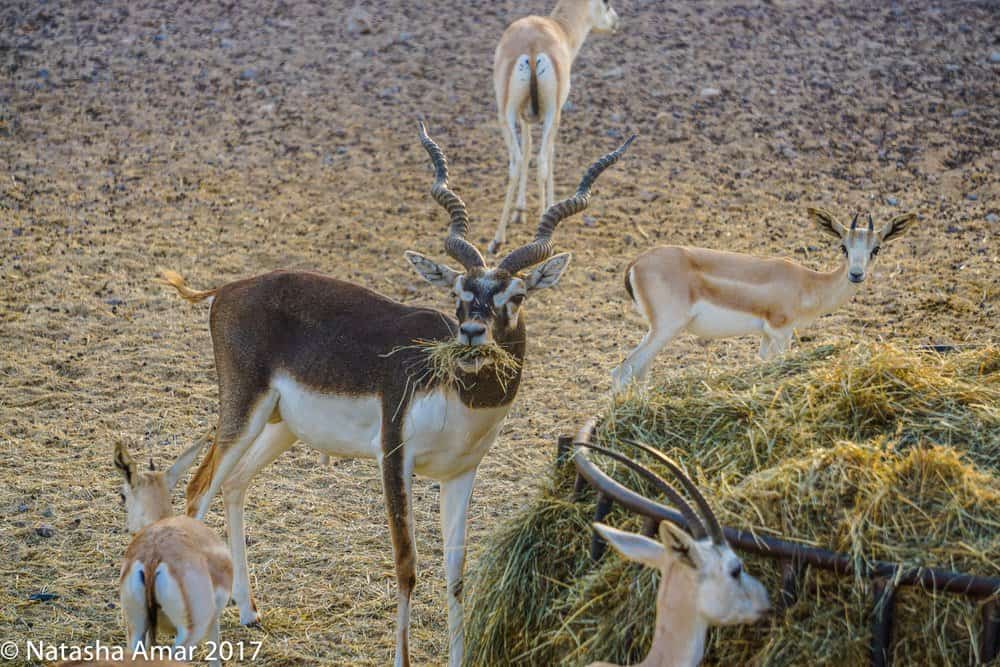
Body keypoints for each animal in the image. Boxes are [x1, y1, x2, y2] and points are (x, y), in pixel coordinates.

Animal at [113, 438, 232, 667]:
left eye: (123, 496)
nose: (129, 528)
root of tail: (152, 557)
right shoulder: (212, 620)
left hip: (135, 629)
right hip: (188, 636)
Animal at [162, 125, 632, 667]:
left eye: (515, 296)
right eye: (458, 294)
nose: (472, 332)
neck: (460, 397)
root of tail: (228, 288)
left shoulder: (461, 474)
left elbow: (456, 576)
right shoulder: (394, 456)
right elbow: (407, 566)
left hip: (282, 426)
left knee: (235, 484)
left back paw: (248, 611)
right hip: (243, 412)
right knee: (198, 493)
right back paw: (208, 647)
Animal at [490, 0, 620, 256]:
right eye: (607, 3)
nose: (615, 23)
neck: (559, 29)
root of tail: (532, 48)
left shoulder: (525, 117)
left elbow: (527, 150)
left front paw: (520, 211)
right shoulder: (556, 111)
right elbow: (549, 154)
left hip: (506, 112)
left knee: (517, 161)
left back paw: (498, 240)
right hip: (549, 113)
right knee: (541, 160)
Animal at [608, 209, 916, 392]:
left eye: (876, 248)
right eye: (843, 246)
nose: (856, 274)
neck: (807, 283)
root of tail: (637, 262)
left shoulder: (767, 335)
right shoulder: (781, 331)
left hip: (657, 332)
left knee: (639, 374)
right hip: (666, 328)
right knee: (622, 370)